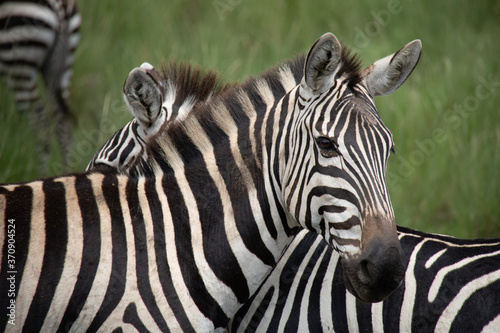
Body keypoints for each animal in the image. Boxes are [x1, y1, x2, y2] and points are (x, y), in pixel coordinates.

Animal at [0, 0, 80, 171]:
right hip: (63, 66)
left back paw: (38, 172)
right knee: (64, 122)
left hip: (18, 60)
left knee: (41, 122)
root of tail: (60, 8)